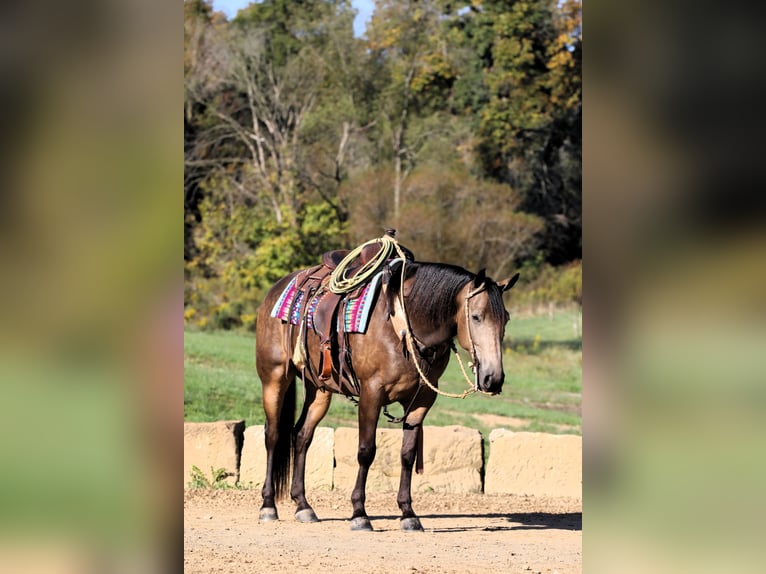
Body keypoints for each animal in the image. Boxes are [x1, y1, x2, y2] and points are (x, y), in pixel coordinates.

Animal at [258, 232, 520, 532]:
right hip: (274, 378)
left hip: (320, 388)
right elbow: (366, 451)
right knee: (273, 435)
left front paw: (408, 513)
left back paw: (303, 505)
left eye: (505, 319)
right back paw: (268, 506)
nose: (493, 378)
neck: (403, 325)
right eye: (476, 316)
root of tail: (278, 288)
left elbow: (407, 454)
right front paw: (359, 513)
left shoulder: (421, 400)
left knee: (301, 435)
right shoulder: (371, 393)